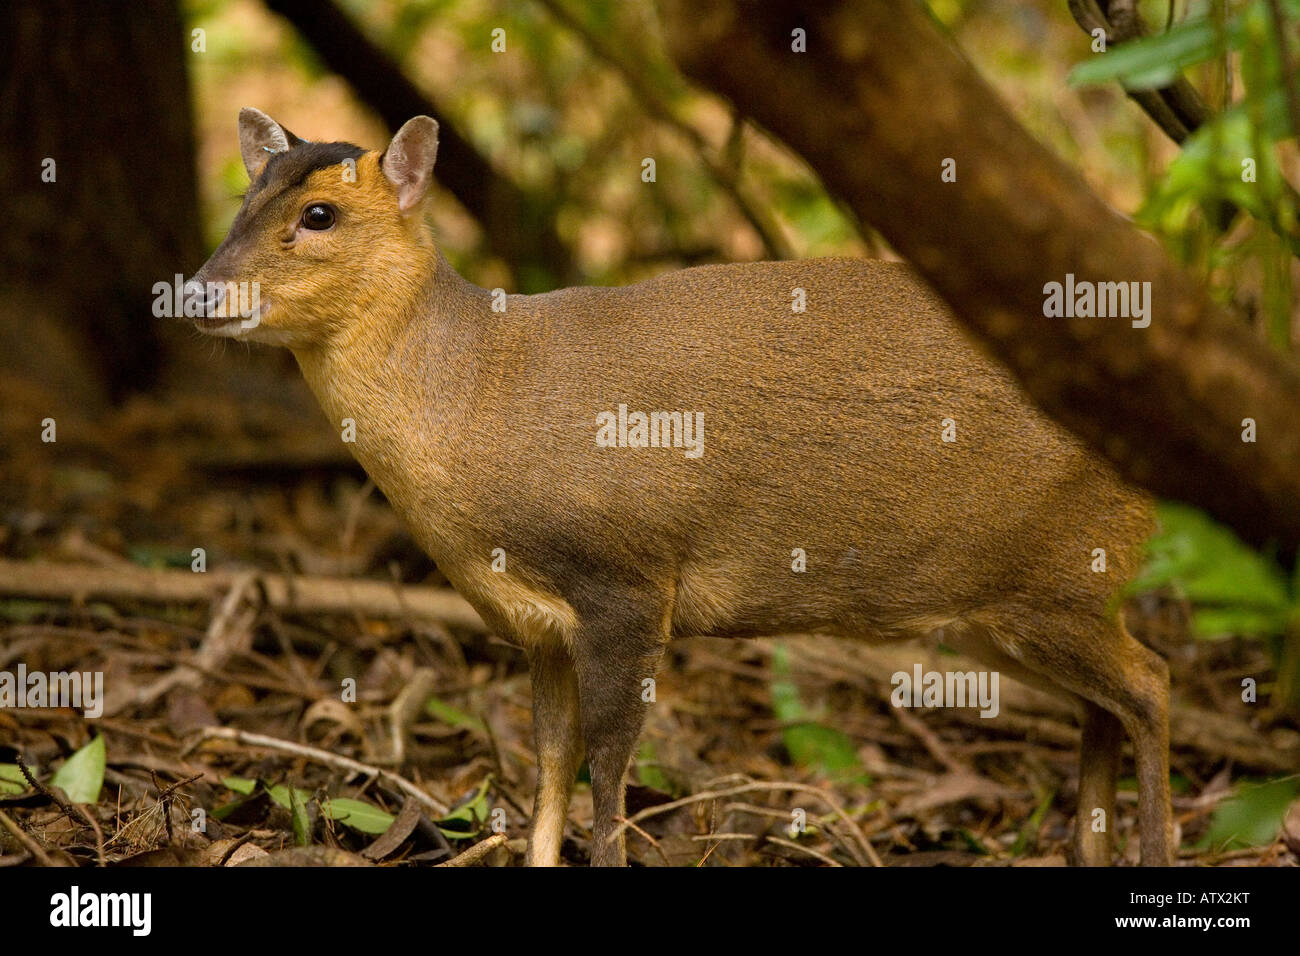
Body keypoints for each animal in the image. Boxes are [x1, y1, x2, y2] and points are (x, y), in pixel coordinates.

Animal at [185, 110, 1180, 868]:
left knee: (1153, 682)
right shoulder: (539, 625)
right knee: (1104, 704)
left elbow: (608, 767)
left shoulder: (627, 581)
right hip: (1004, 607)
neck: (479, 399)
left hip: (1063, 578)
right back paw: (1091, 850)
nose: (196, 292)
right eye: (242, 202)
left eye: (319, 213)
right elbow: (550, 763)